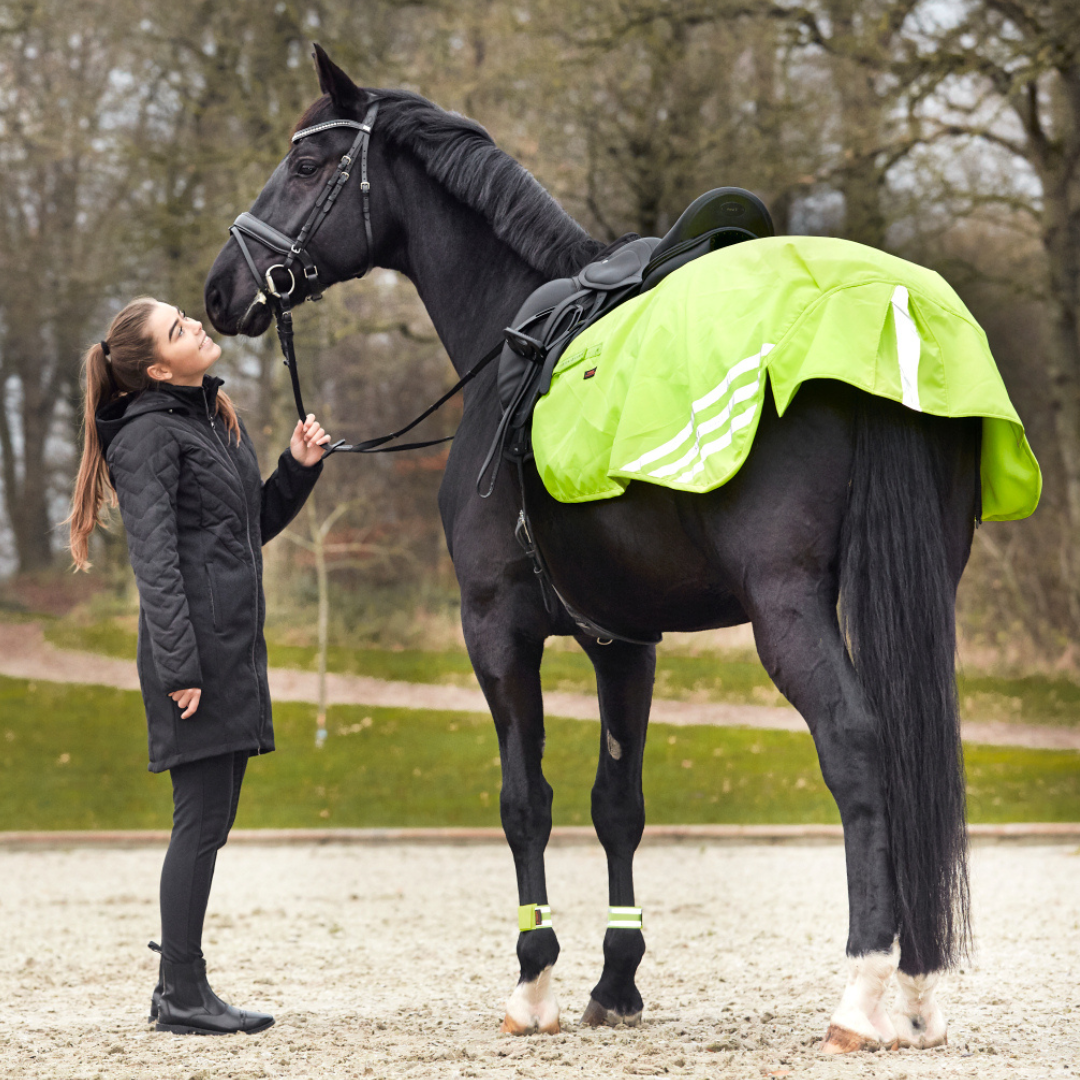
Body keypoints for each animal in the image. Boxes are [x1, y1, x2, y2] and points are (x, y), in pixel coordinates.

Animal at [205, 46, 979, 1053]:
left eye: (303, 165)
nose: (222, 287)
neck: (510, 345)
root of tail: (887, 315)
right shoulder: (624, 643)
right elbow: (617, 806)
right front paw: (616, 979)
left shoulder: (495, 629)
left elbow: (523, 799)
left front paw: (533, 978)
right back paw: (919, 990)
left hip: (787, 610)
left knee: (857, 747)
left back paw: (865, 987)